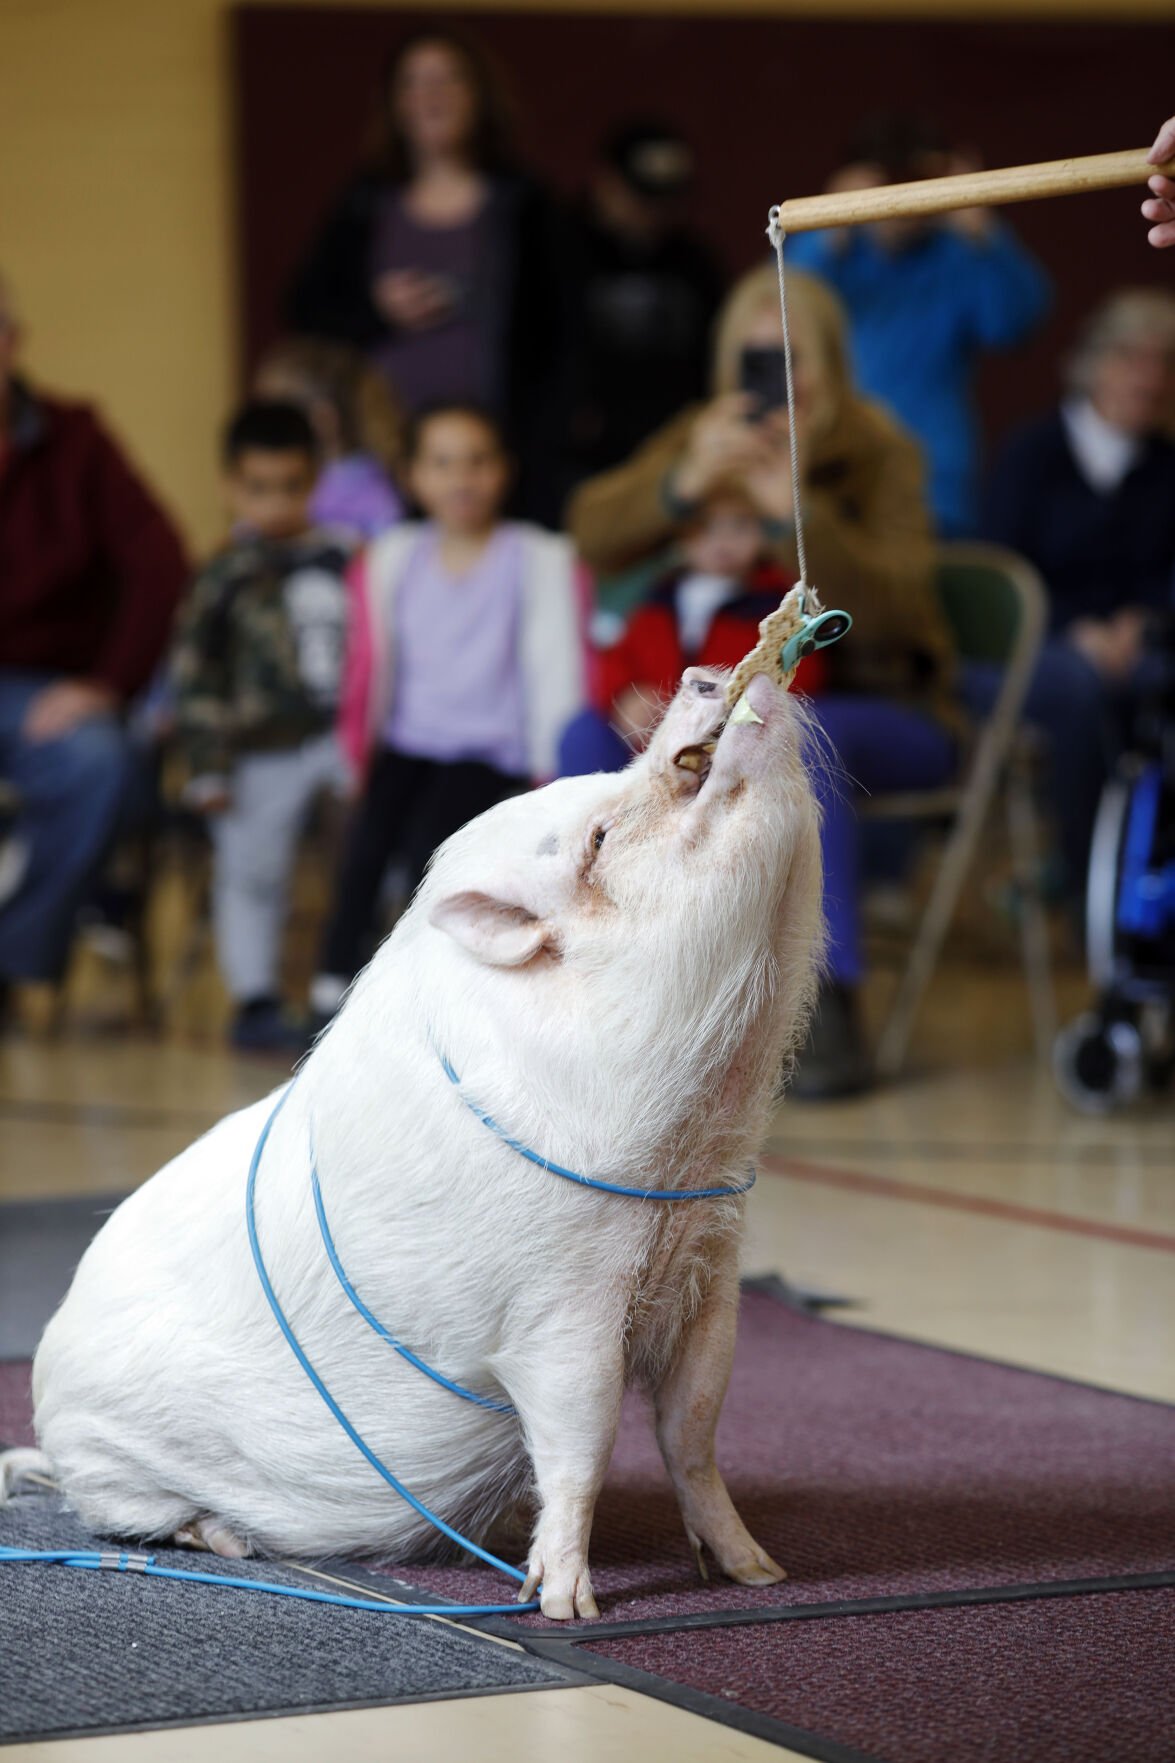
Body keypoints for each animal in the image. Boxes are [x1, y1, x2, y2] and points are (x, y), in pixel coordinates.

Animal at [1, 666, 824, 1620]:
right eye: (597, 837)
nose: (703, 675)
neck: (692, 1147)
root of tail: (45, 1417)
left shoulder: (711, 1265)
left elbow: (693, 1425)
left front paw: (760, 1572)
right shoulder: (554, 1307)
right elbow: (582, 1436)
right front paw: (566, 1605)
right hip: (108, 1464)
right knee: (129, 1517)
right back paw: (227, 1537)